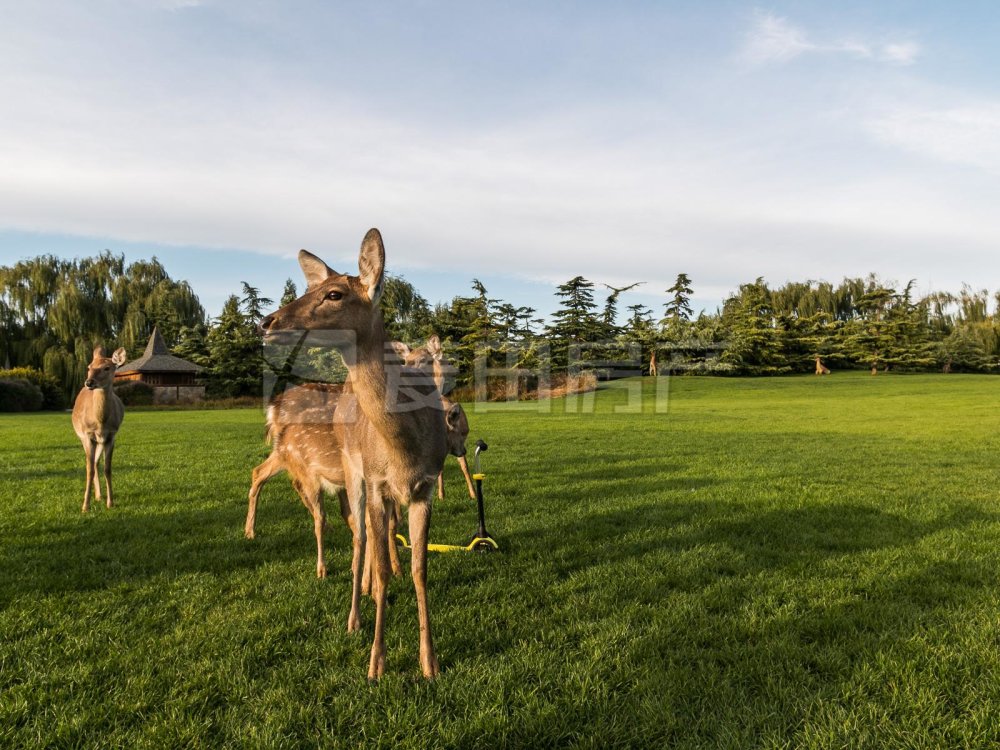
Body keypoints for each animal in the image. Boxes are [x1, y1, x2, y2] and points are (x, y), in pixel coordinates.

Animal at [71, 348, 128, 516]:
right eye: (89, 367)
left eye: (107, 368)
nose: (89, 382)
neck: (100, 422)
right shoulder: (88, 435)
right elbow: (88, 469)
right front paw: (85, 506)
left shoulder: (111, 435)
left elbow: (107, 469)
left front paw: (110, 502)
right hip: (84, 438)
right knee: (92, 464)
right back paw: (96, 496)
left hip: (100, 441)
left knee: (96, 462)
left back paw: (99, 495)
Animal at [258, 229, 450, 680]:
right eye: (306, 288)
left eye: (334, 294)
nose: (266, 322)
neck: (403, 447)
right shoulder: (377, 482)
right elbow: (379, 565)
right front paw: (376, 662)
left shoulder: (426, 486)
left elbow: (419, 569)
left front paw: (429, 661)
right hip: (351, 469)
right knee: (359, 536)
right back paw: (354, 616)